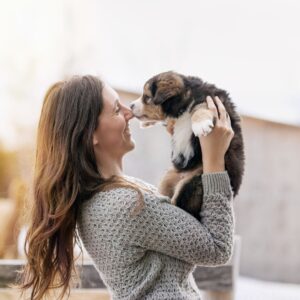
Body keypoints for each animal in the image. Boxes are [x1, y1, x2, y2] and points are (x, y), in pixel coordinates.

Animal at [130, 70, 245, 220]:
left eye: (147, 97)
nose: (130, 105)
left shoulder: (212, 102)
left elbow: (200, 108)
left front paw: (201, 125)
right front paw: (146, 123)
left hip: (194, 182)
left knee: (181, 206)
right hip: (169, 176)